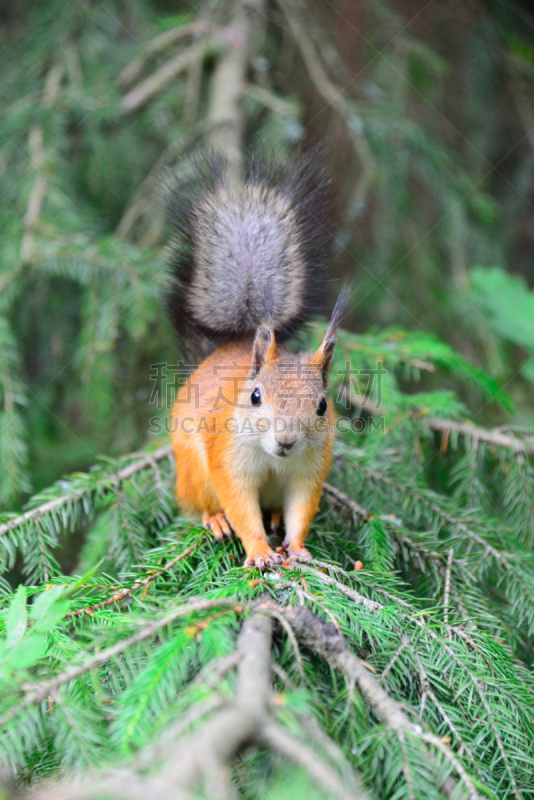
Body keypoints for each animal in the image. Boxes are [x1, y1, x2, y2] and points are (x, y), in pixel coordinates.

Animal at [169, 156, 352, 568]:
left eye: (322, 406)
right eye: (255, 397)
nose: (286, 440)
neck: (273, 458)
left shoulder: (309, 470)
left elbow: (301, 510)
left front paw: (297, 548)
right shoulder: (227, 459)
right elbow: (240, 506)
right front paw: (259, 551)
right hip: (192, 472)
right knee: (198, 504)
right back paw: (215, 519)